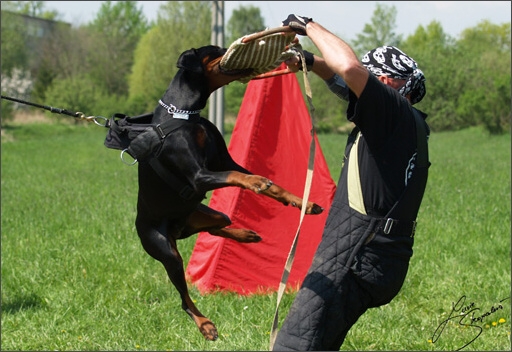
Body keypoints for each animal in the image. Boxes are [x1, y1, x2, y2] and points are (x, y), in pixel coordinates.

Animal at [134, 44, 322, 340]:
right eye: (215, 49)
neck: (184, 113)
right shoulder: (200, 175)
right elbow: (241, 178)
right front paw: (258, 183)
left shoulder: (225, 161)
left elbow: (266, 182)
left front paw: (301, 201)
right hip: (165, 249)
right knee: (184, 298)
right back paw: (205, 325)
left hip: (206, 214)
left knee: (216, 226)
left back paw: (246, 234)